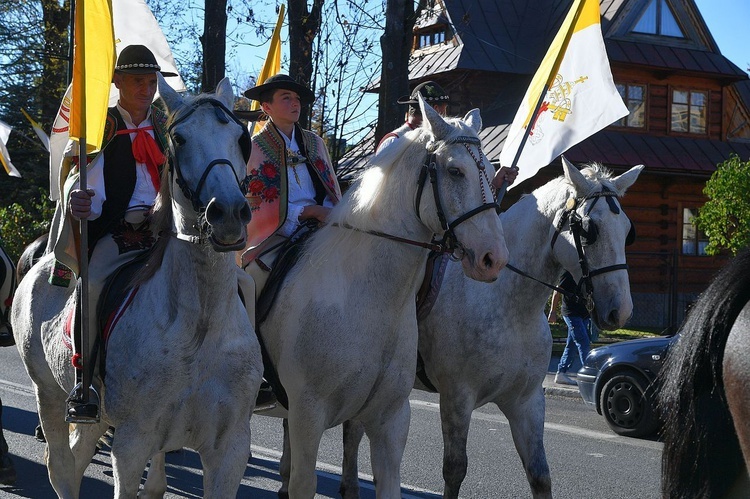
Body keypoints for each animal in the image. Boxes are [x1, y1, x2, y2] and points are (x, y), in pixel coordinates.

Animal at [7, 76, 262, 498]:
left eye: (241, 138)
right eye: (180, 139)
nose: (227, 213)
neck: (200, 325)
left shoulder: (230, 449)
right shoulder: (131, 442)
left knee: (80, 456)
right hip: (50, 395)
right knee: (61, 468)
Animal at [254, 99, 512, 498]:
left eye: (490, 170)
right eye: (455, 171)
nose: (493, 259)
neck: (371, 300)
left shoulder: (390, 418)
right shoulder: (307, 415)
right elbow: (303, 481)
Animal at [338, 158, 644, 498]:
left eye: (627, 231)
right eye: (589, 230)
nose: (620, 311)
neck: (508, 304)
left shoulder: (527, 402)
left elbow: (540, 475)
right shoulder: (457, 398)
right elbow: (454, 470)